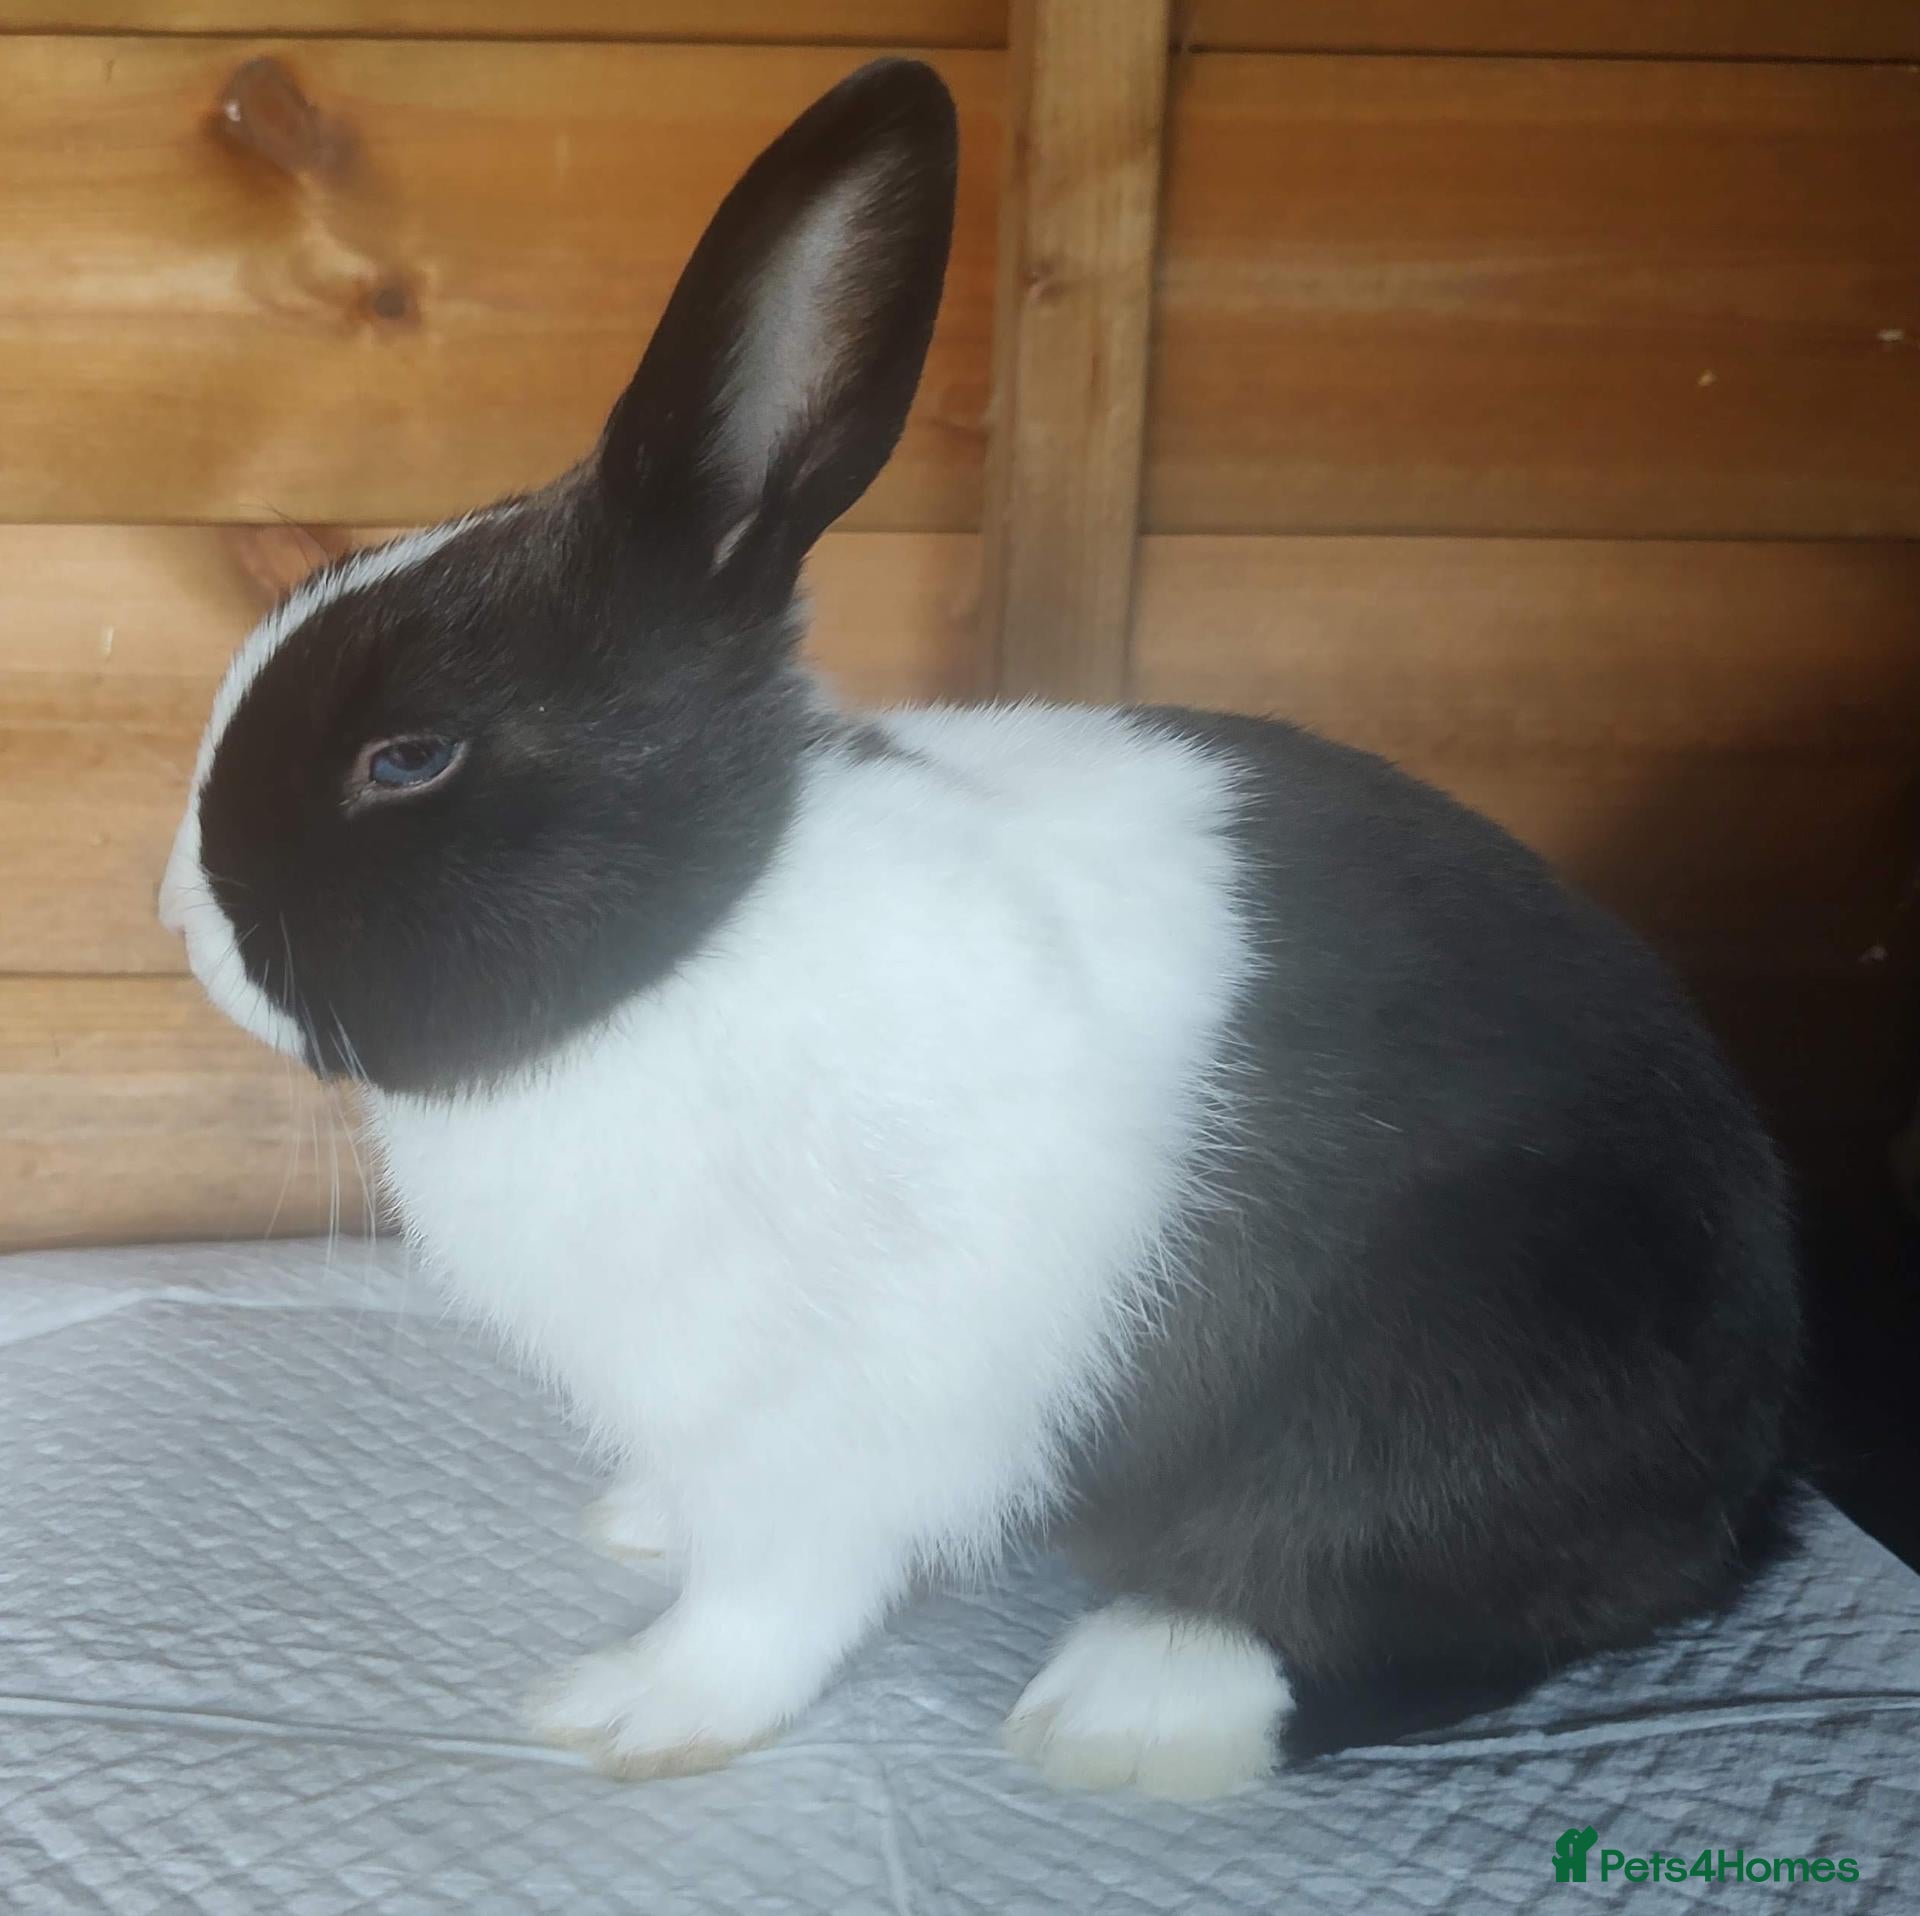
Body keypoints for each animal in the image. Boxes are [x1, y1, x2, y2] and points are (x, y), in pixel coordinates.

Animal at [159, 59, 1800, 1797]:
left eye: (408, 760)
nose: (179, 921)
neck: (698, 953)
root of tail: (1757, 1449)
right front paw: (635, 1527)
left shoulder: (837, 1437)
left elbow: (768, 1601)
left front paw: (629, 1713)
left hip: (1471, 1369)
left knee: (1443, 1613)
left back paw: (1132, 1709)